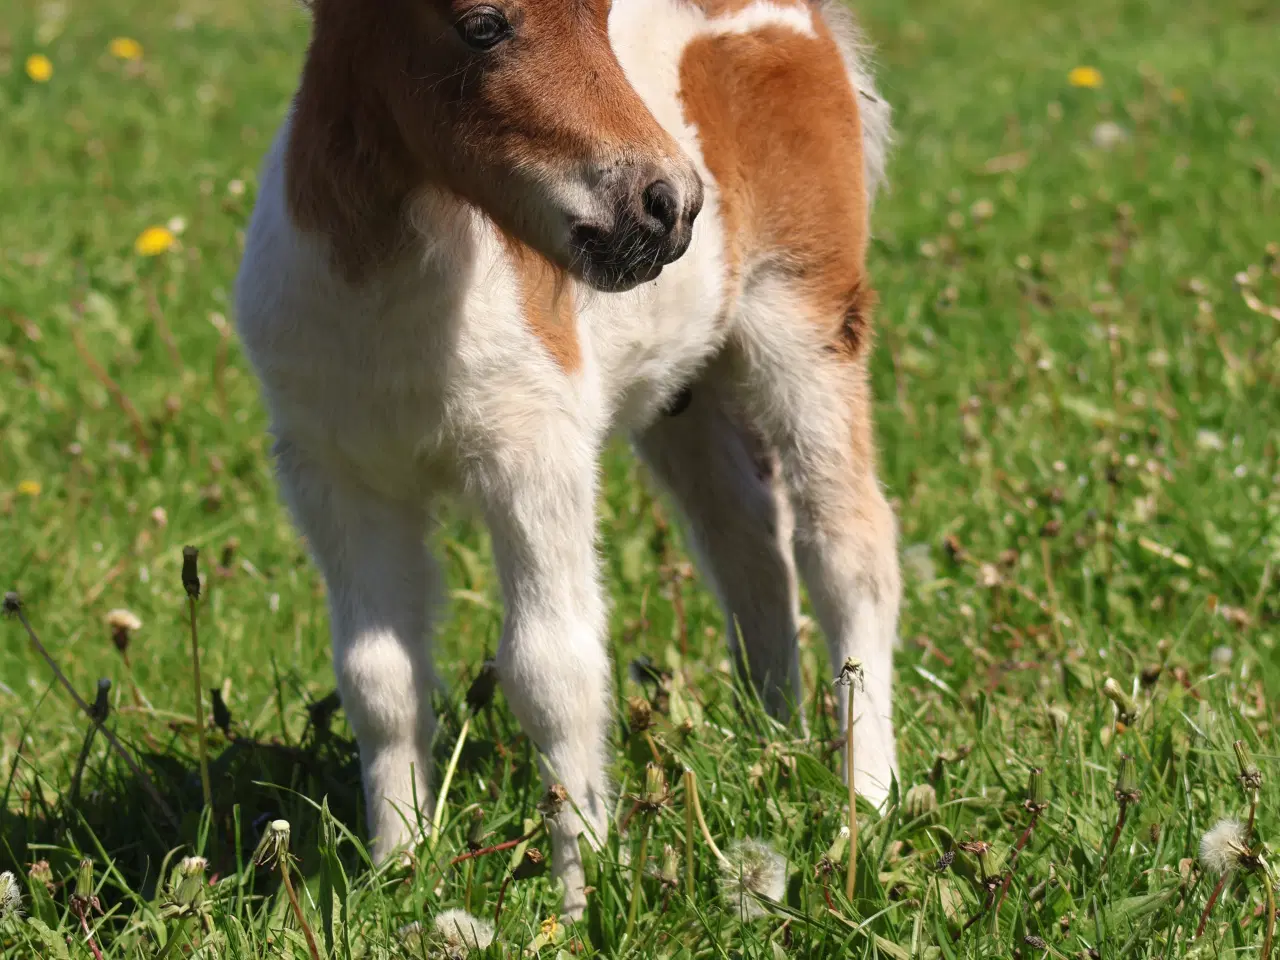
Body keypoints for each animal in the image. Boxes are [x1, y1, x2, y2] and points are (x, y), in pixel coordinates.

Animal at [240, 0, 901, 916]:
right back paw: (773, 736)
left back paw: (863, 801)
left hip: (806, 317)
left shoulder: (533, 452)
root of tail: (803, 20)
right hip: (684, 387)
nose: (671, 206)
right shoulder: (336, 476)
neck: (385, 291)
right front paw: (397, 879)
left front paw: (582, 897)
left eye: (600, 16)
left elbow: (551, 668)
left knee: (848, 545)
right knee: (747, 542)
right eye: (483, 26)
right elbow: (378, 676)